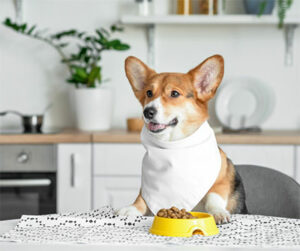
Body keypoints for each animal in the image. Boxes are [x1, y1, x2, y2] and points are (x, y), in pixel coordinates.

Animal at [118, 55, 248, 224]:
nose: (147, 112)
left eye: (174, 93)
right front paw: (131, 208)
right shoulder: (146, 189)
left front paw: (218, 212)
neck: (174, 146)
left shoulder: (222, 180)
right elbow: (142, 198)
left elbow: (214, 196)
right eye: (148, 93)